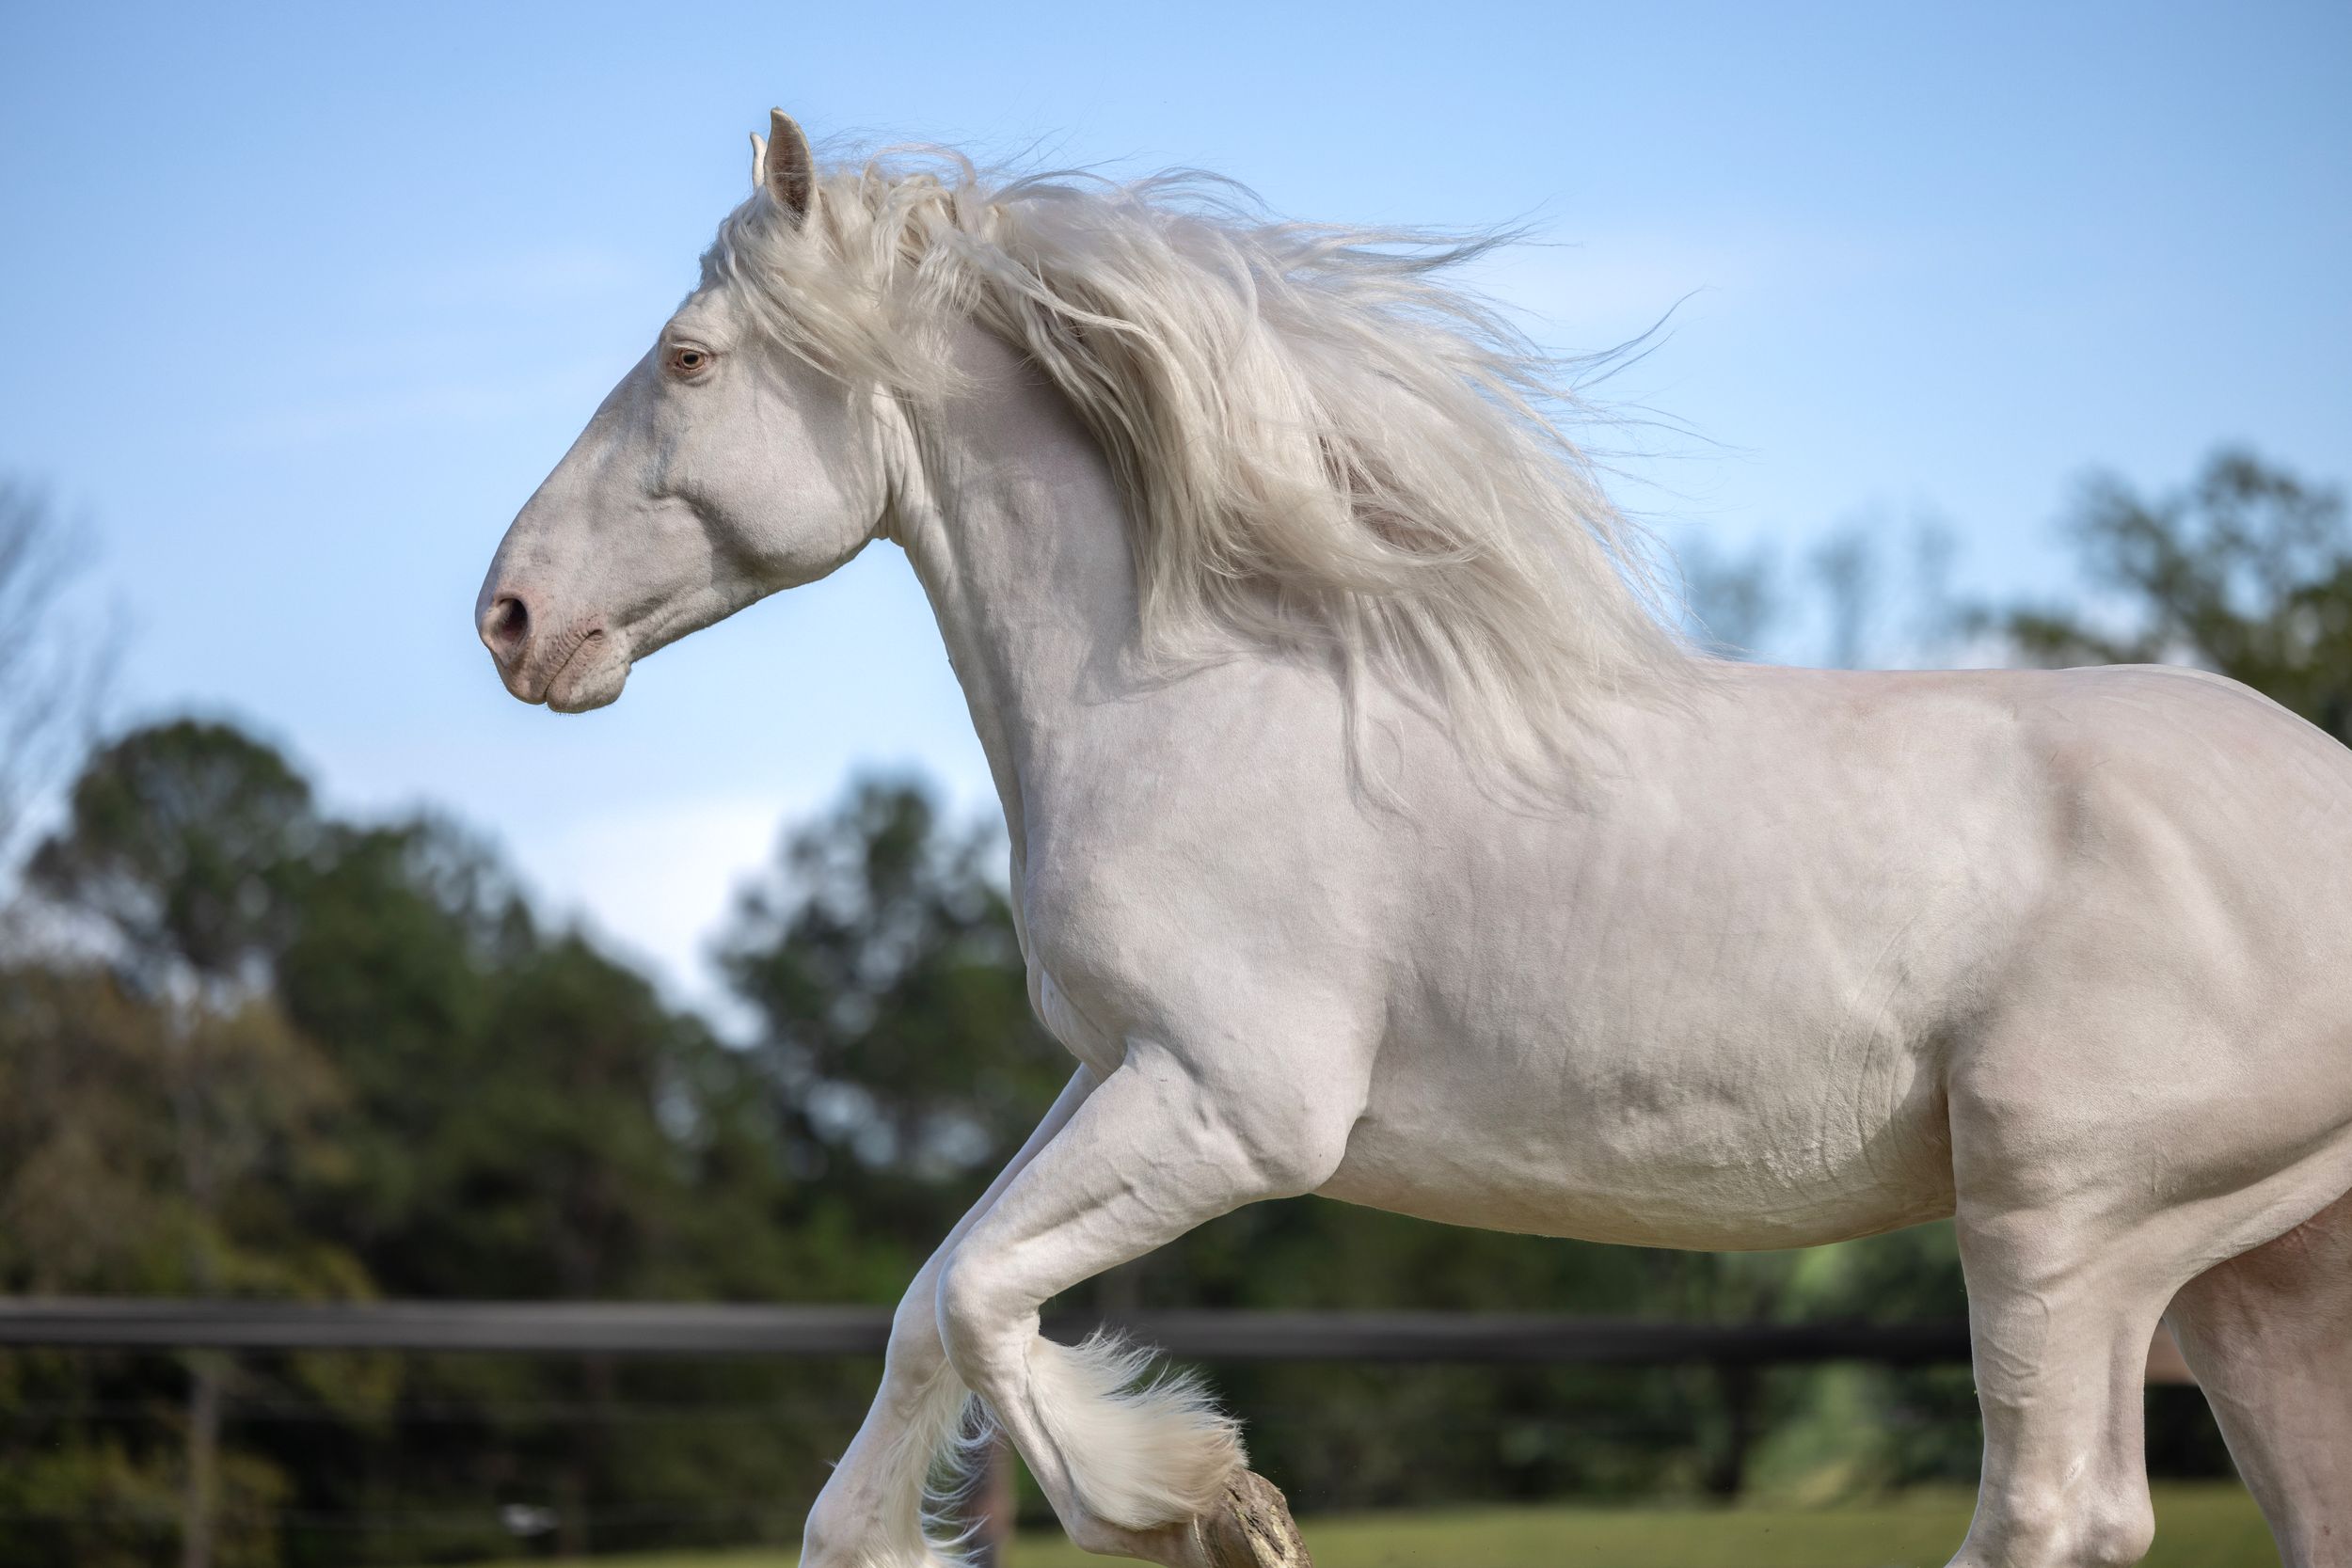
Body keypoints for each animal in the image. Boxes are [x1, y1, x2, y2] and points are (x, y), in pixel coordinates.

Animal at [475, 110, 2352, 1568]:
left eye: (691, 357)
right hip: (2252, 1271)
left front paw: (1203, 1504)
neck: (1196, 695)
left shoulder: (1238, 1107)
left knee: (2062, 1510)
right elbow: (930, 1294)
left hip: (2067, 1223)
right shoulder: (1112, 1074)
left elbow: (983, 1293)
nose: (508, 619)